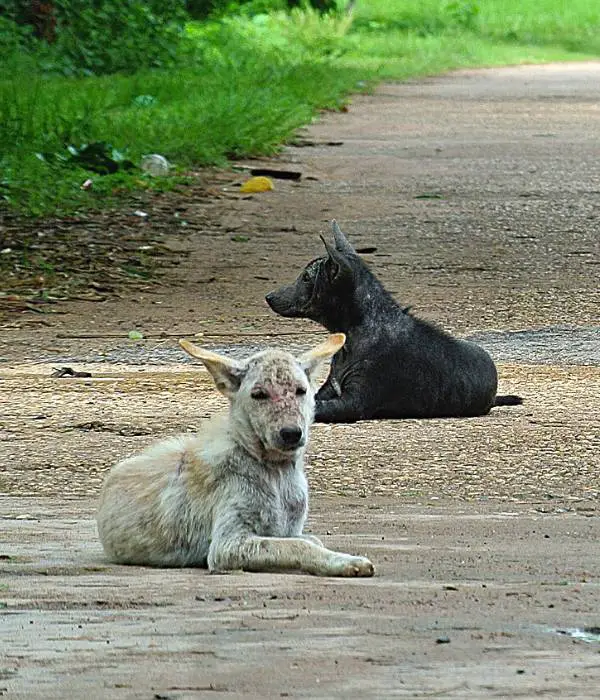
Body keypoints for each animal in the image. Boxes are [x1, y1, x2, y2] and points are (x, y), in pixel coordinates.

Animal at [264, 221, 524, 424]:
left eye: (306, 278)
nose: (268, 296)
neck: (356, 332)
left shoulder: (354, 402)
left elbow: (317, 408)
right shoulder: (329, 389)